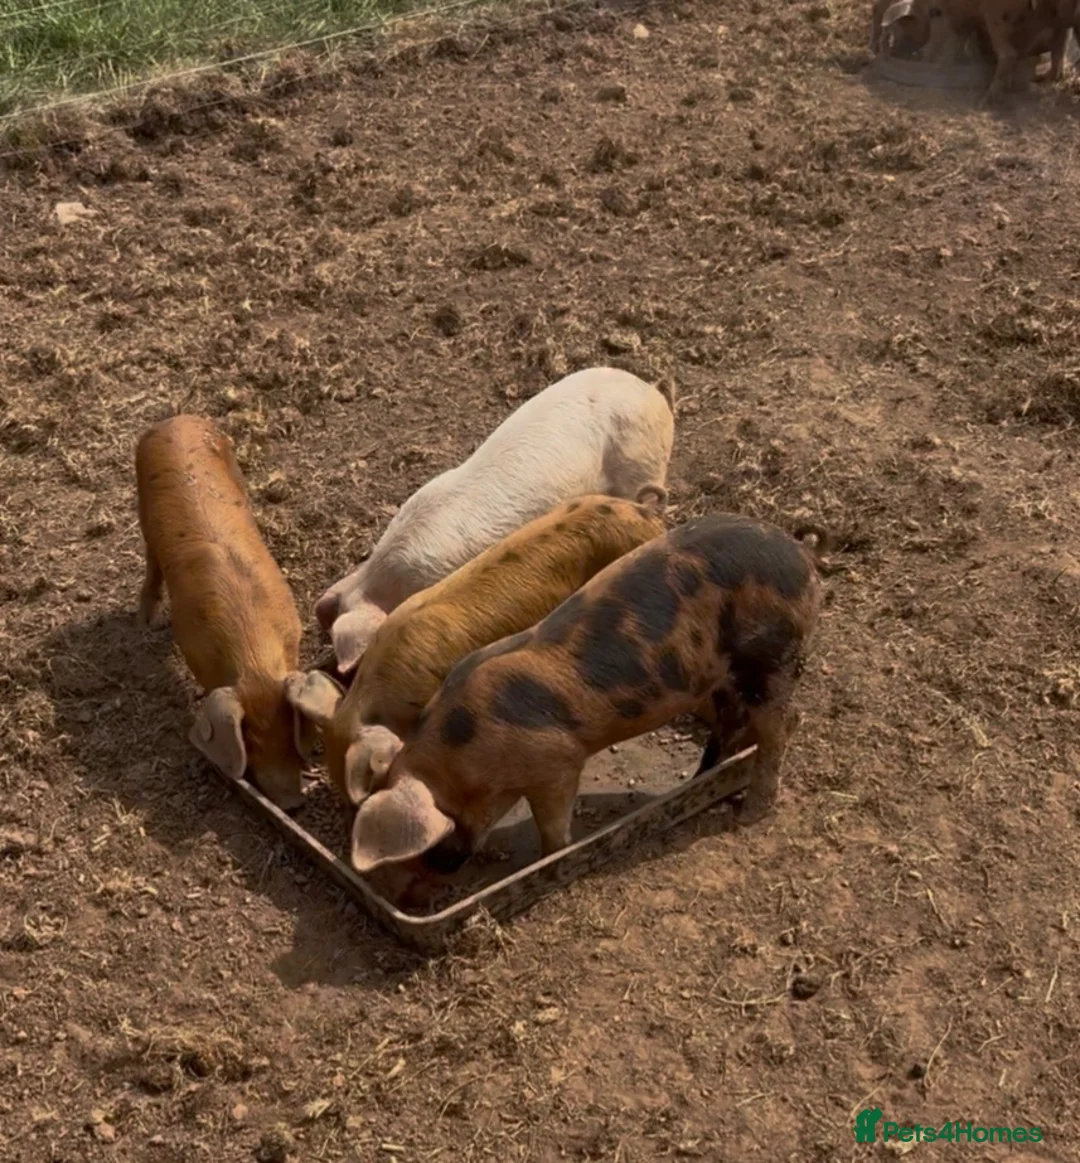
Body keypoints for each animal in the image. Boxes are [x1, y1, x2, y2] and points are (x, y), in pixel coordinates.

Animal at [135, 415, 315, 811]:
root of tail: (175, 419)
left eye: (288, 730)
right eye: (251, 741)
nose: (292, 803)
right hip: (141, 507)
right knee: (151, 560)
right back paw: (150, 622)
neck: (253, 653)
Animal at [344, 513, 825, 880]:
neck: (464, 748)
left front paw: (546, 861)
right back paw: (701, 777)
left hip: (773, 653)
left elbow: (555, 827)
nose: (443, 869)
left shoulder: (558, 761)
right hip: (722, 674)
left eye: (441, 829)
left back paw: (750, 812)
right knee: (732, 721)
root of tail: (802, 557)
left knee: (784, 723)